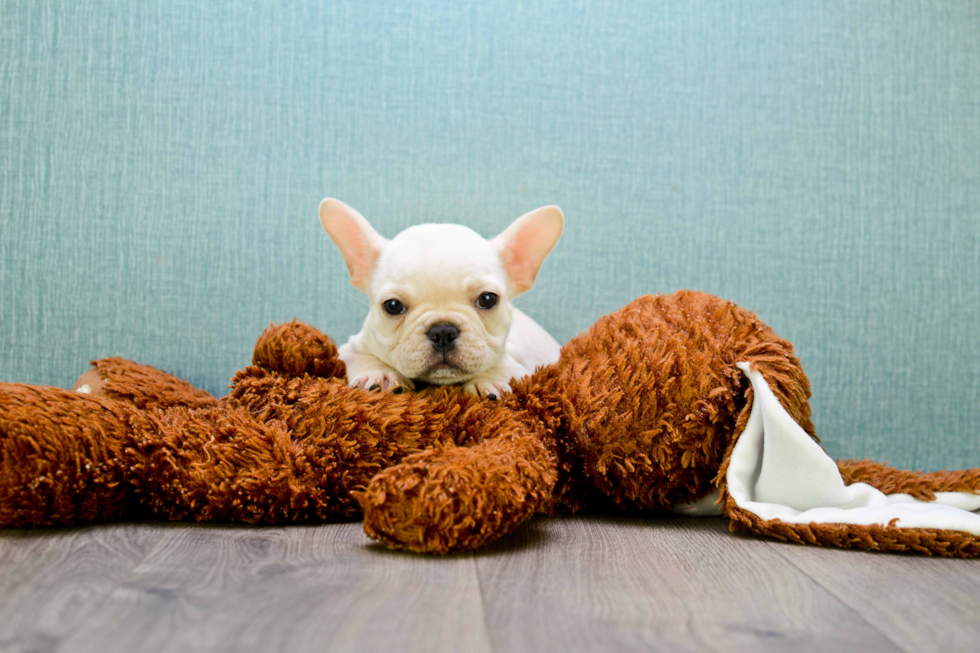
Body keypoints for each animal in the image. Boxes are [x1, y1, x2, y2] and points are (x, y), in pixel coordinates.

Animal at [320, 197, 564, 398]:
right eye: (392, 306)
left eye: (488, 300)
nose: (443, 330)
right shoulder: (351, 347)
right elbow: (360, 356)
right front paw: (378, 373)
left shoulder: (523, 362)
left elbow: (504, 364)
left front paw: (488, 380)